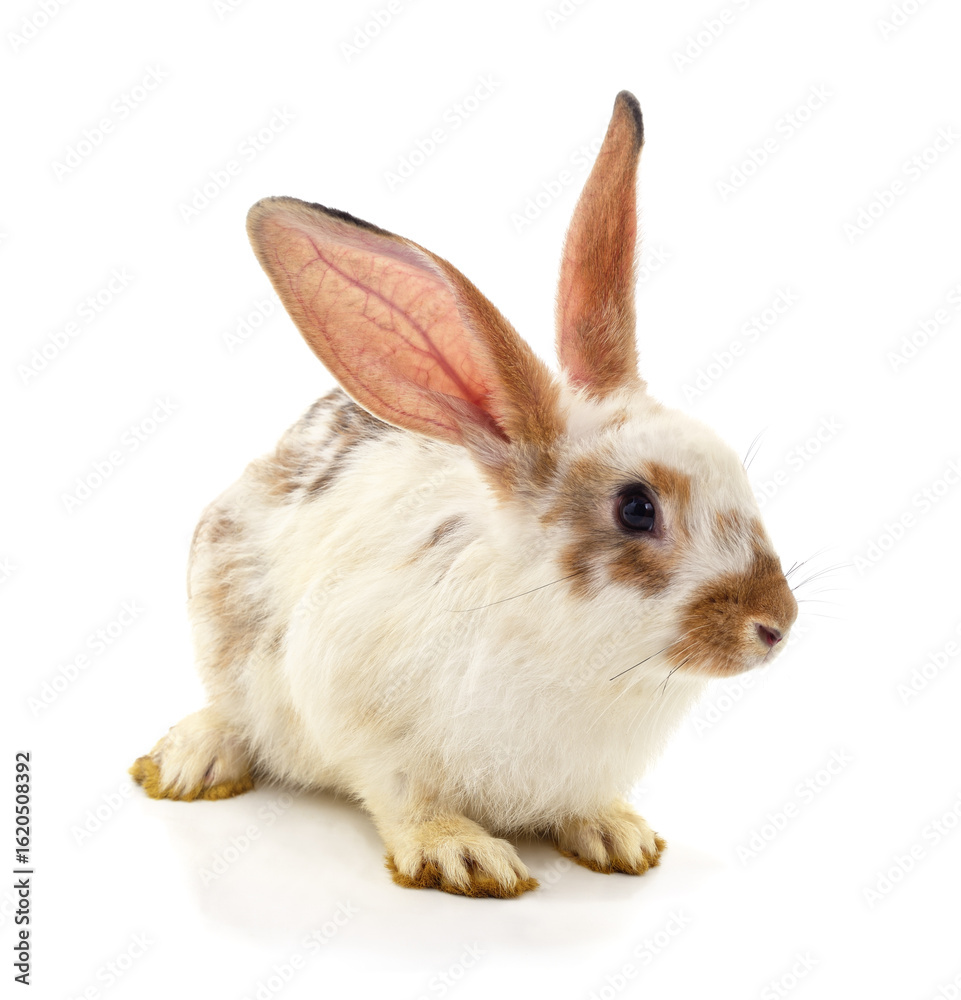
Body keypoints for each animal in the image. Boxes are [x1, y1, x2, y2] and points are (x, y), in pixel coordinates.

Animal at [130, 91, 798, 898]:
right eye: (637, 508)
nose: (776, 623)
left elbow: (586, 807)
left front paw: (619, 837)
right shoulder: (360, 716)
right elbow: (403, 796)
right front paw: (463, 855)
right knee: (230, 711)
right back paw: (189, 761)